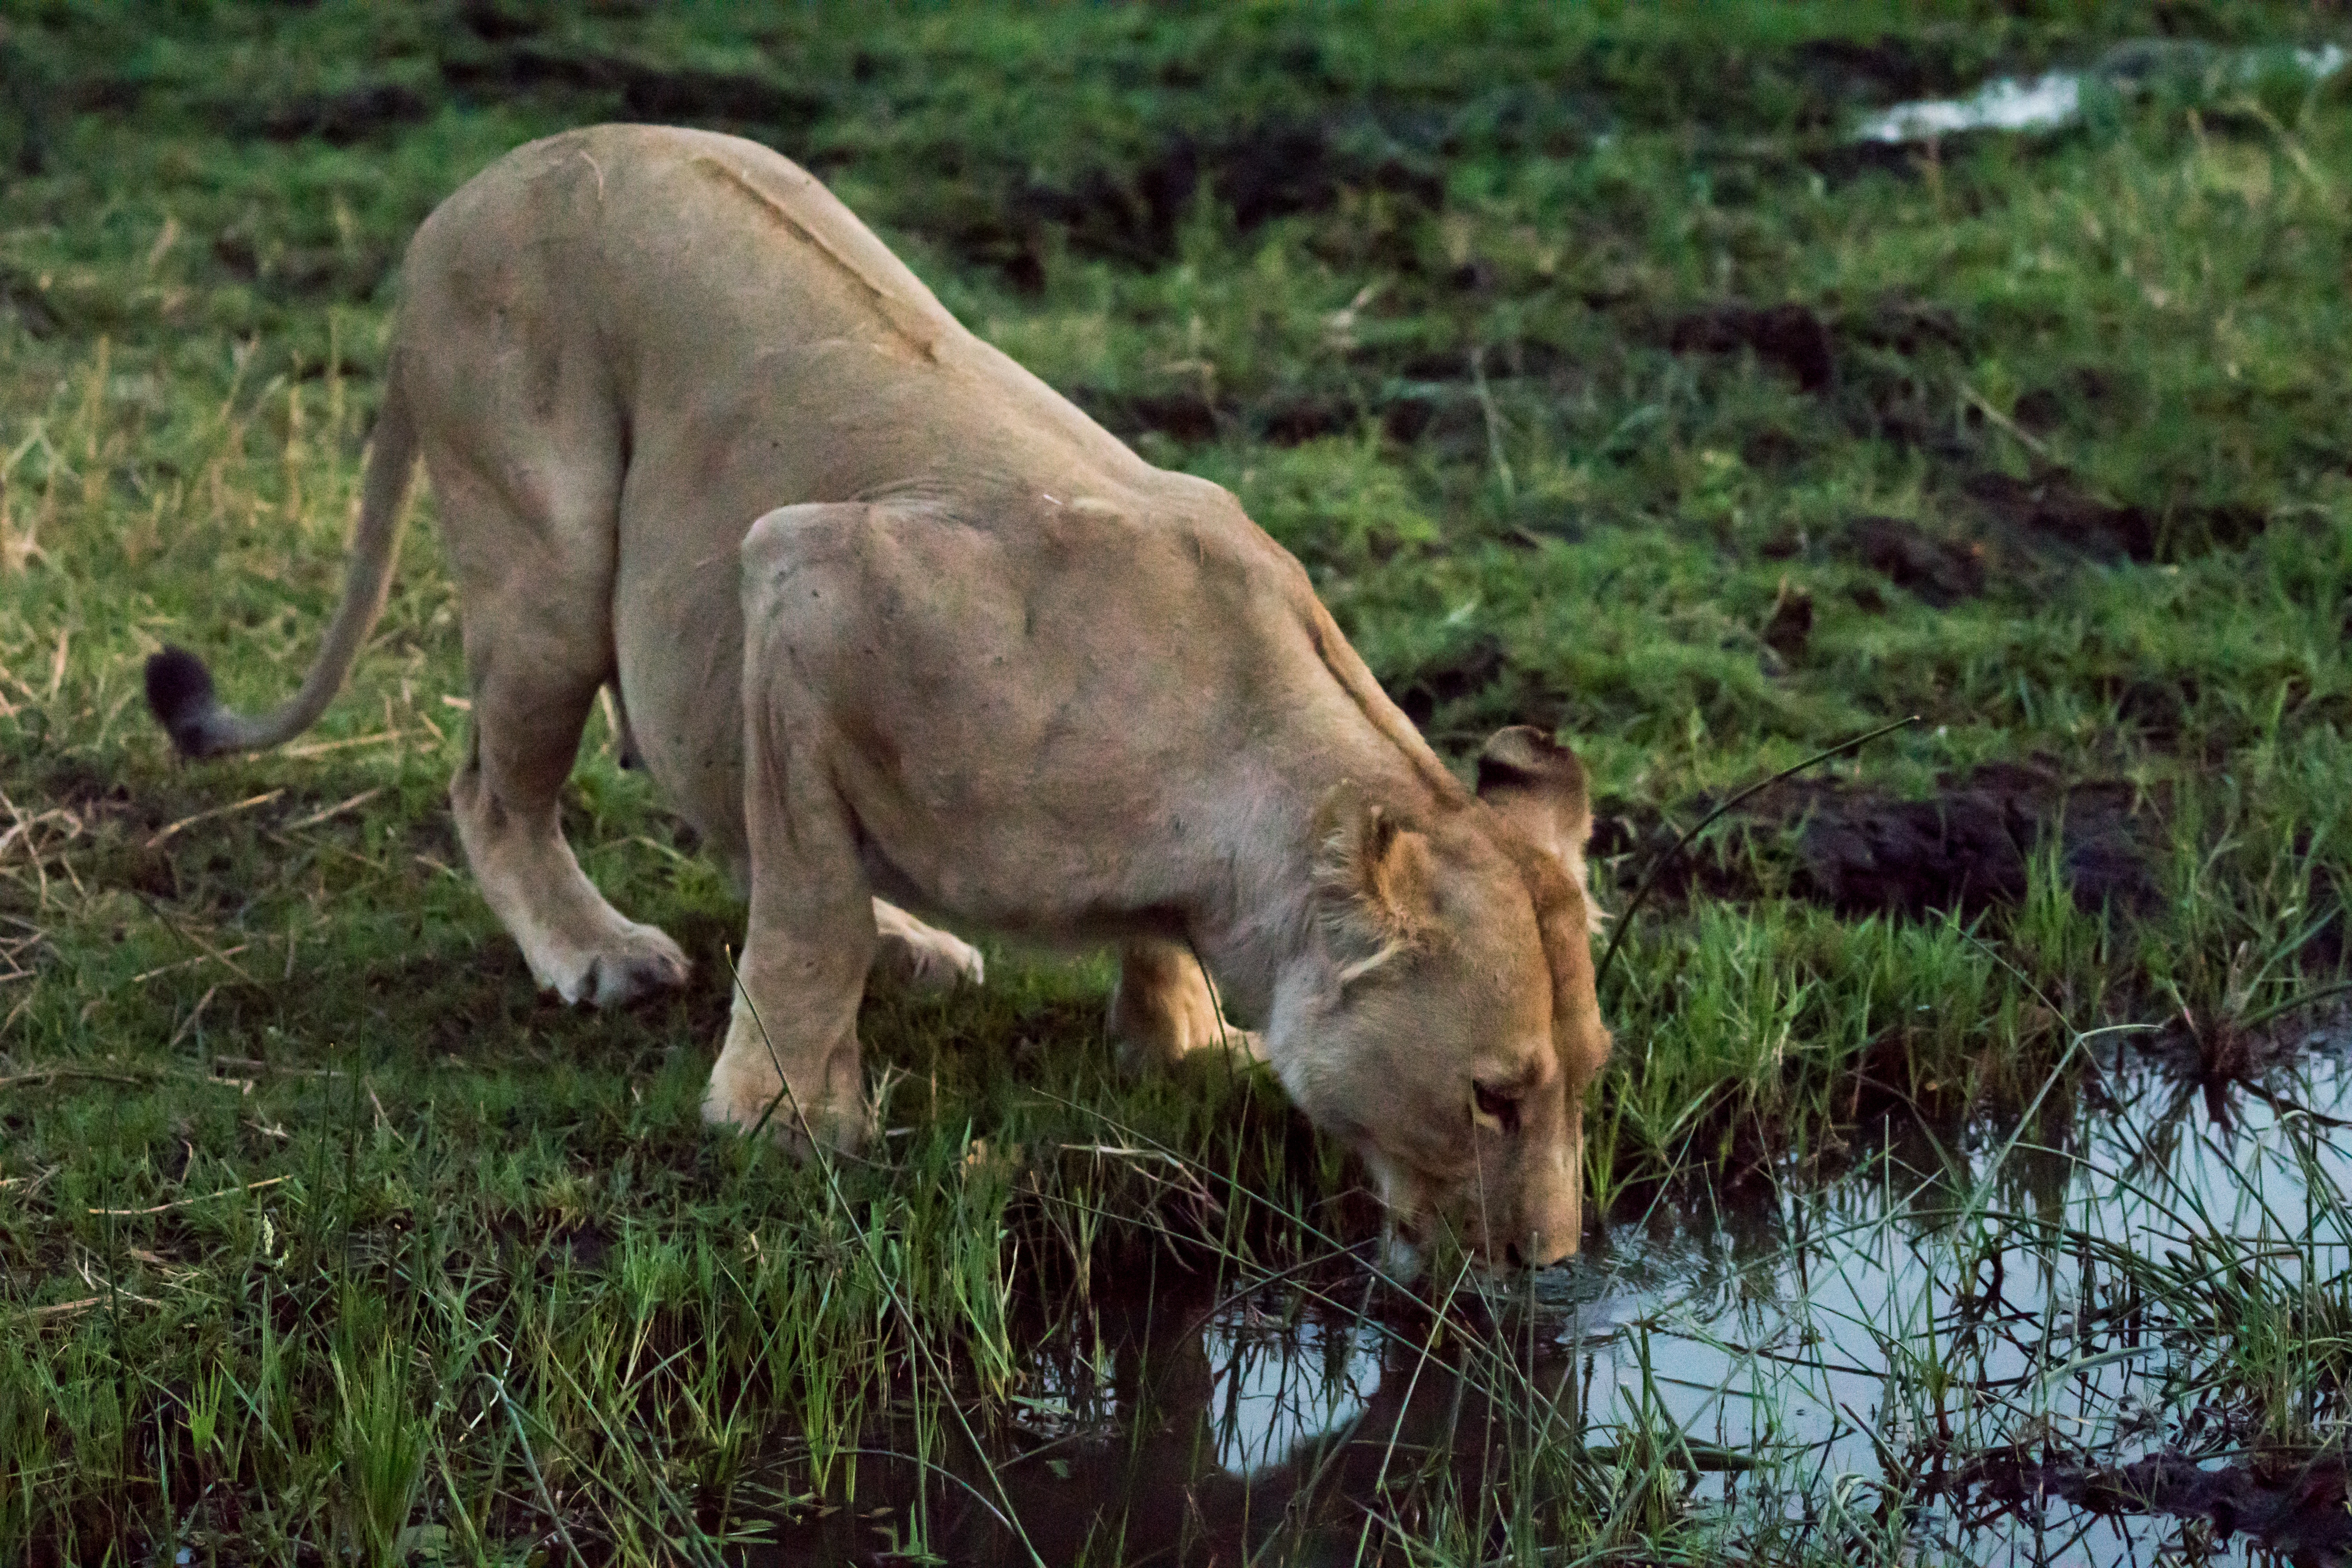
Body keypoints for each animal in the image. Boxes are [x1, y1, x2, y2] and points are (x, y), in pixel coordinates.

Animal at [145, 125, 1610, 1266]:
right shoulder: (803, 575)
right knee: (502, 790)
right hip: (549, 568)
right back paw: (600, 952)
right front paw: (788, 1118)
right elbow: (808, 919)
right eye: (1491, 1096)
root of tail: (470, 193)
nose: (1548, 1262)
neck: (1234, 819)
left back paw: (916, 940)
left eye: (1588, 1083)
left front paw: (1183, 1042)